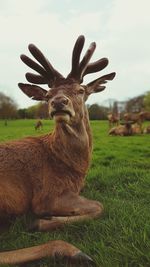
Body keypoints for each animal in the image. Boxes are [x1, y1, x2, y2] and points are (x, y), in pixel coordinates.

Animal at [0, 35, 115, 266]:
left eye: (81, 90)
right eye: (48, 94)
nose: (58, 102)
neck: (75, 168)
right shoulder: (47, 195)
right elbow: (100, 206)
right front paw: (40, 222)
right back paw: (70, 250)